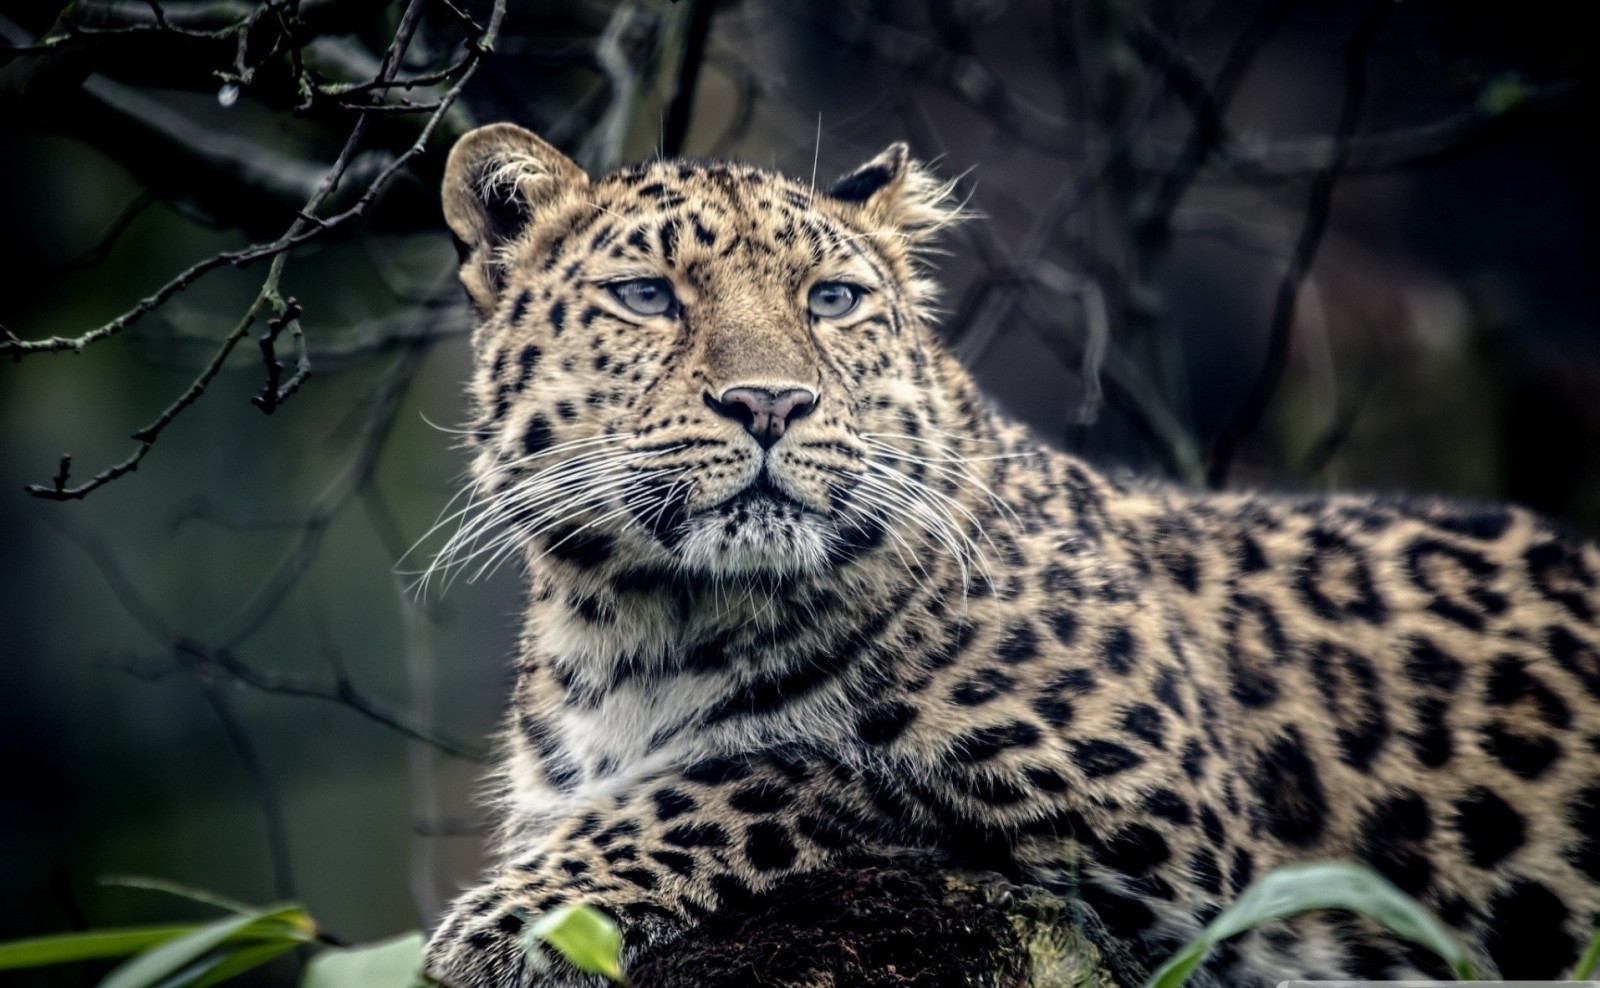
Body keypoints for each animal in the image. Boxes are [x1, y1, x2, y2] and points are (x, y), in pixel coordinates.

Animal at [422, 123, 1600, 984]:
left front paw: (511, 920)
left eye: (832, 299)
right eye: (647, 296)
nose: (771, 403)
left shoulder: (1157, 818)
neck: (647, 622)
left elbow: (775, 768)